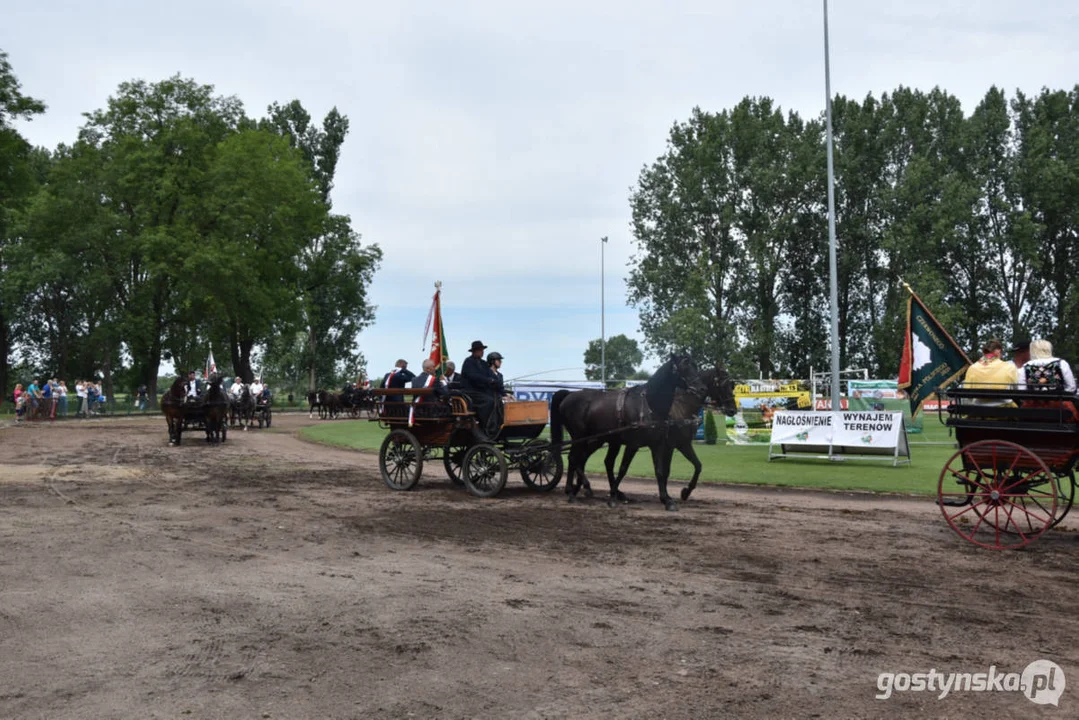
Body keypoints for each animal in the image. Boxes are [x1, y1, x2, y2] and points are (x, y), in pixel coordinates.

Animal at [548, 354, 707, 511]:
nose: (702, 388)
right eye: (684, 366)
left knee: (588, 460)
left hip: (599, 440)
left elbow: (660, 471)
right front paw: (612, 497)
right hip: (580, 436)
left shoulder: (657, 444)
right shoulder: (633, 444)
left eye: (695, 366)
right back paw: (573, 491)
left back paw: (576, 489)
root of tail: (569, 395)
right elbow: (623, 469)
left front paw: (667, 500)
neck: (649, 405)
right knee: (574, 459)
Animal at [604, 367, 738, 500]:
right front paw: (671, 494)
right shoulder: (669, 446)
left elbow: (698, 466)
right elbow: (666, 471)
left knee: (609, 462)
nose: (733, 410)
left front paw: (685, 492)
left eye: (732, 386)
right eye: (723, 385)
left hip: (614, 442)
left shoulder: (683, 444)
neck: (681, 408)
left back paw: (616, 492)